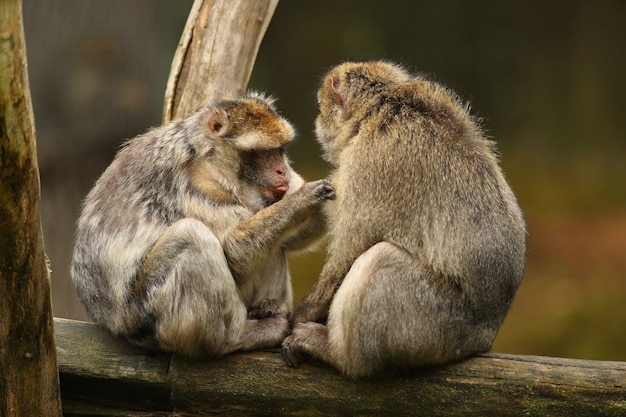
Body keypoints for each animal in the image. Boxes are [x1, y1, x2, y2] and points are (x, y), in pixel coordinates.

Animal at [70, 92, 334, 356]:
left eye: (280, 150)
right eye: (262, 152)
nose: (282, 171)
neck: (212, 160)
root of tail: (112, 323)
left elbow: (295, 239)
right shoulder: (198, 186)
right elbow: (233, 253)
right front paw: (305, 197)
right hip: (144, 311)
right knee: (190, 235)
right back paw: (239, 335)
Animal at [280, 60, 524, 376]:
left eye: (321, 108)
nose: (317, 121)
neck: (381, 108)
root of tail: (483, 336)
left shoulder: (370, 162)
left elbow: (353, 248)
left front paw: (299, 318)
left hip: (434, 323)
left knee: (381, 257)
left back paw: (338, 355)